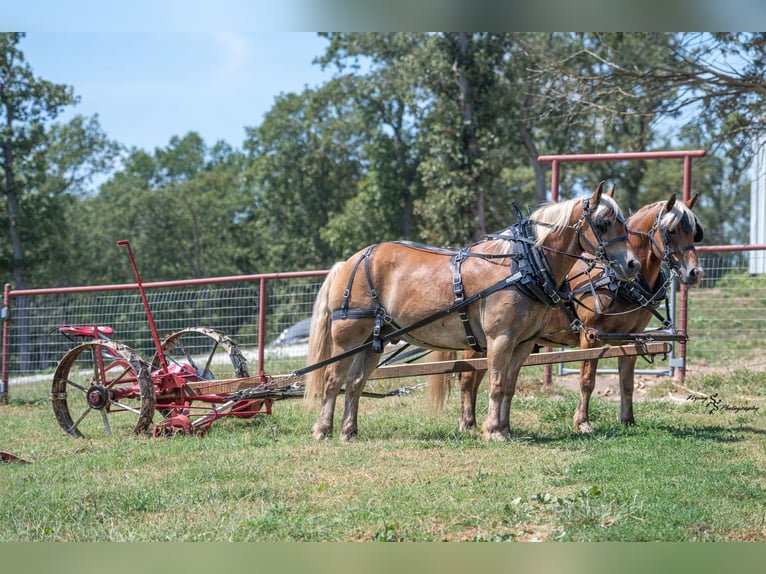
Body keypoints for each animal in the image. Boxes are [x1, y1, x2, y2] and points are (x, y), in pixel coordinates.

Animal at [304, 182, 641, 441]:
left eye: (624, 223)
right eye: (603, 223)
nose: (632, 265)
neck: (524, 264)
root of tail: (350, 261)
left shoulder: (524, 343)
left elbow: (509, 386)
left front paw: (505, 428)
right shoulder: (500, 338)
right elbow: (495, 383)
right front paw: (492, 430)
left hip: (375, 340)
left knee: (355, 383)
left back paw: (349, 431)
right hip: (348, 337)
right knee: (333, 380)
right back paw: (322, 429)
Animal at [427, 192, 704, 433]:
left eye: (694, 232)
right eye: (671, 231)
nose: (694, 273)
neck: (618, 281)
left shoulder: (631, 338)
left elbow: (626, 383)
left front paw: (628, 420)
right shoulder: (591, 335)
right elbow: (587, 381)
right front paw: (582, 422)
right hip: (481, 339)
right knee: (467, 376)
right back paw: (468, 423)